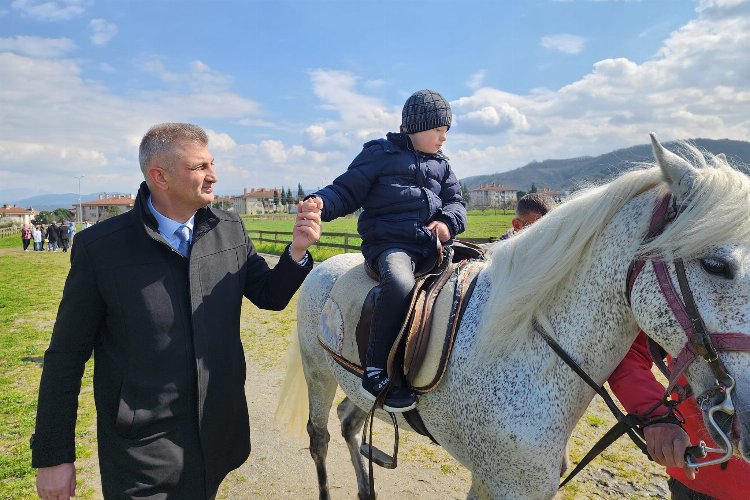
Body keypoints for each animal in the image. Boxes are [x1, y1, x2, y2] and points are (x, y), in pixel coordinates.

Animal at [280, 135, 750, 498]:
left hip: (355, 388)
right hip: (318, 372)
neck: (525, 346)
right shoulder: (501, 481)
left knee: (349, 422)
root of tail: (324, 266)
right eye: (716, 265)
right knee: (320, 437)